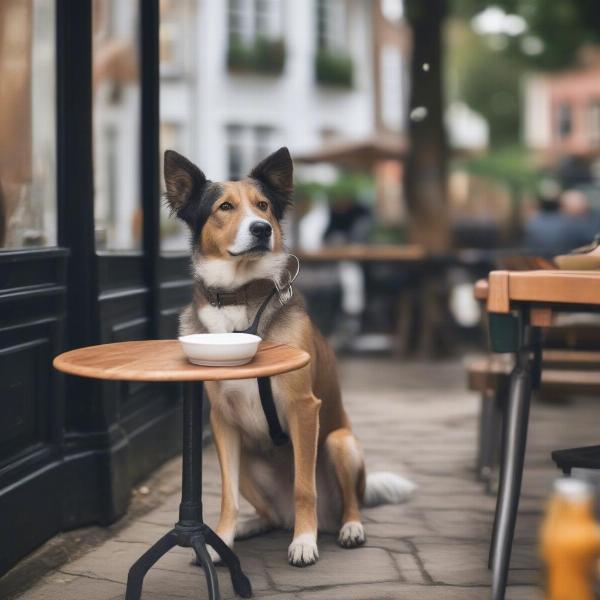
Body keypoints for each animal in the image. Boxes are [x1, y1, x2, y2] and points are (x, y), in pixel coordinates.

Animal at [164, 146, 418, 568]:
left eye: (263, 206)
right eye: (224, 207)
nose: (261, 229)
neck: (241, 300)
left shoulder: (303, 408)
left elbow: (304, 487)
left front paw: (303, 542)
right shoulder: (222, 422)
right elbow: (227, 495)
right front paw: (222, 540)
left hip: (340, 443)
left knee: (348, 503)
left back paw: (348, 528)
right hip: (248, 458)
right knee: (270, 515)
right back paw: (251, 526)